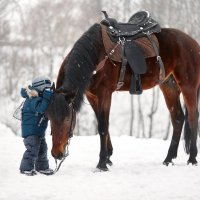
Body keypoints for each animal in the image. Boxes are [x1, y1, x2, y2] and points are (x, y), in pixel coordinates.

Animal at [45, 23, 200, 170]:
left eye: (67, 119)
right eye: (49, 118)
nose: (56, 153)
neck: (96, 58)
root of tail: (193, 43)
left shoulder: (105, 94)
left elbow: (103, 126)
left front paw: (102, 163)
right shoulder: (92, 96)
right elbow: (103, 125)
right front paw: (108, 157)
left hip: (188, 87)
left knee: (192, 118)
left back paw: (192, 158)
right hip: (169, 86)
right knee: (178, 118)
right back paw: (168, 159)